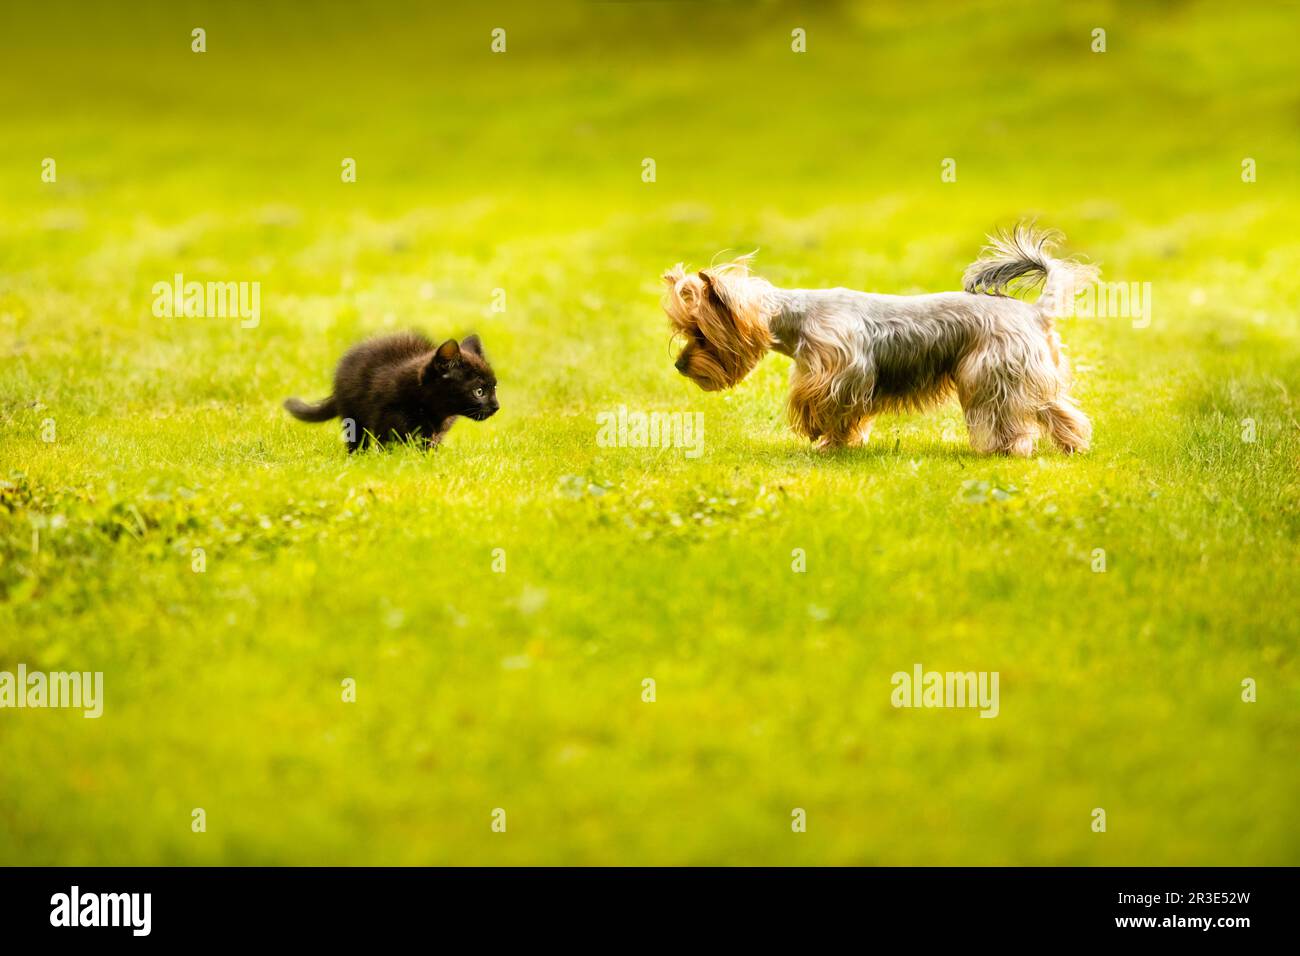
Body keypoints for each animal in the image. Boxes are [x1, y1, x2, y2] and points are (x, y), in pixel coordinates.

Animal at [284, 332, 496, 452]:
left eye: (494, 387)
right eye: (479, 391)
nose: (496, 406)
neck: (434, 411)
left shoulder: (437, 432)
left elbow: (428, 445)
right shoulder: (384, 417)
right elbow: (387, 442)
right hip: (352, 412)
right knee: (356, 437)